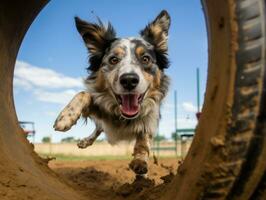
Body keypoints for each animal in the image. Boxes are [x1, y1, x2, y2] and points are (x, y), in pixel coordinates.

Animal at [53, 9, 170, 175]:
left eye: (145, 59)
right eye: (113, 59)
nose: (129, 80)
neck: (125, 117)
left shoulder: (152, 116)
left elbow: (144, 135)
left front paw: (140, 160)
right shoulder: (101, 106)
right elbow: (84, 93)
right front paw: (65, 118)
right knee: (98, 128)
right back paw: (85, 141)